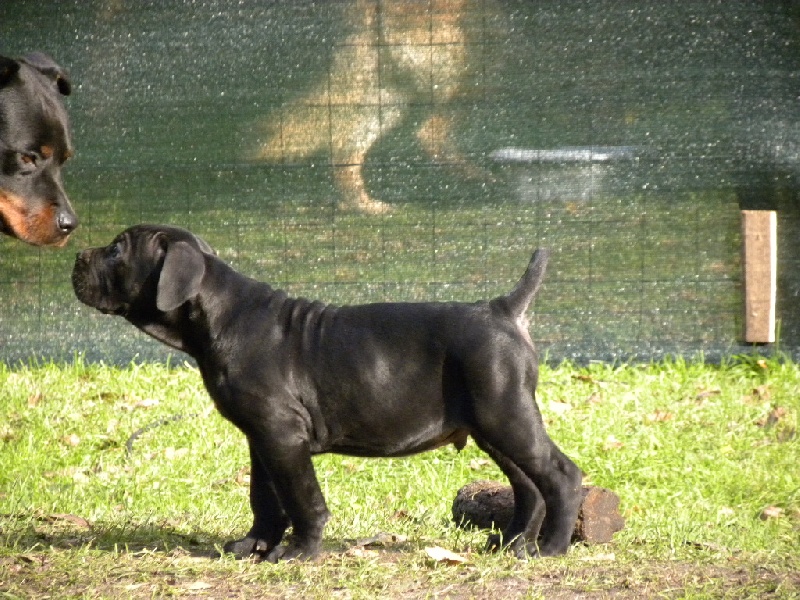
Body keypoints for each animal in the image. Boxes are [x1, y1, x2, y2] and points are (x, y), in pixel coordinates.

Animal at [70, 225, 580, 564]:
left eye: (116, 250)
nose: (75, 256)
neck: (218, 314)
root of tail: (504, 308)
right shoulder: (262, 438)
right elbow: (264, 497)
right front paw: (253, 545)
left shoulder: (283, 436)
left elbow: (302, 498)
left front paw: (300, 552)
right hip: (493, 426)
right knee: (529, 487)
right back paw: (511, 544)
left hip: (505, 416)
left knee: (561, 475)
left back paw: (551, 548)